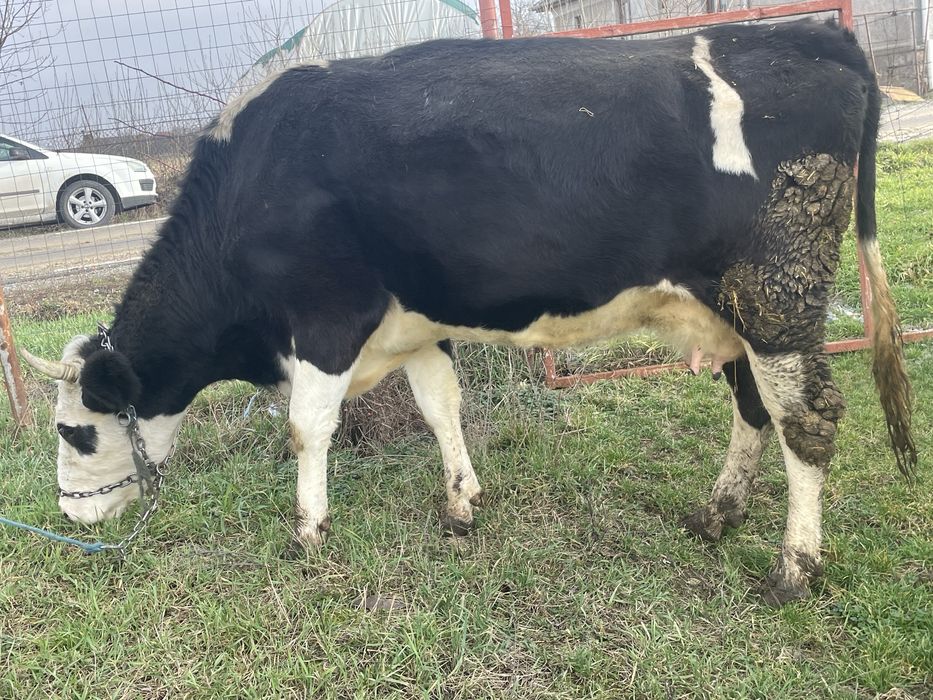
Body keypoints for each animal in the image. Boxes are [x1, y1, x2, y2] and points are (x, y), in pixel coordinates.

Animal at [22, 19, 915, 606]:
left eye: (76, 431)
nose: (69, 514)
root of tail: (808, 31)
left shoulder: (325, 318)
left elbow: (308, 427)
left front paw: (307, 529)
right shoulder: (413, 324)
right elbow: (438, 408)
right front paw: (459, 501)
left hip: (775, 295)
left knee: (808, 418)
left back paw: (793, 566)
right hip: (734, 310)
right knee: (754, 410)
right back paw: (717, 514)